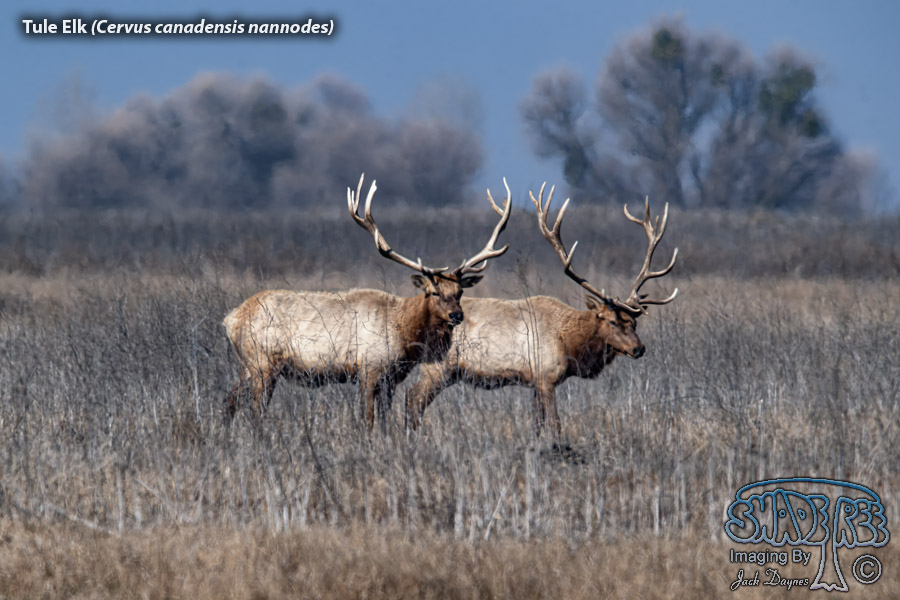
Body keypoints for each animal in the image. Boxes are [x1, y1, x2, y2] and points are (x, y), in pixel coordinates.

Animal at [223, 174, 511, 428]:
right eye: (433, 291)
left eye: (460, 291)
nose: (456, 315)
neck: (403, 334)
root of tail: (230, 319)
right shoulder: (369, 368)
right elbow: (368, 419)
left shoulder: (392, 378)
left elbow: (384, 420)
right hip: (262, 362)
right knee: (255, 410)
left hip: (248, 365)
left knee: (230, 398)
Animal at [405, 183, 677, 438]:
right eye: (611, 320)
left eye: (634, 322)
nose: (638, 348)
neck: (570, 343)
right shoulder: (546, 376)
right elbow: (555, 425)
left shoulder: (534, 381)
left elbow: (537, 425)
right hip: (438, 367)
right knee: (412, 398)